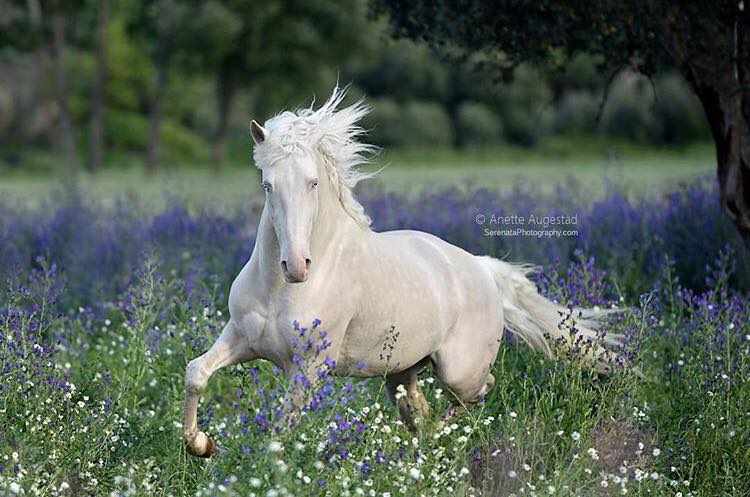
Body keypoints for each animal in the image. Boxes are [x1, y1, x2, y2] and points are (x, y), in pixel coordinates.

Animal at [182, 87, 616, 456]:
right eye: (267, 184)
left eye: (313, 183)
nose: (296, 265)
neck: (280, 290)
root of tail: (481, 268)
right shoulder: (241, 337)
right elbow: (196, 373)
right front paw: (202, 444)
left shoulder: (309, 369)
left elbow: (278, 433)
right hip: (400, 372)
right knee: (418, 409)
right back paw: (419, 450)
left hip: (459, 370)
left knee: (476, 391)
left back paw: (434, 442)